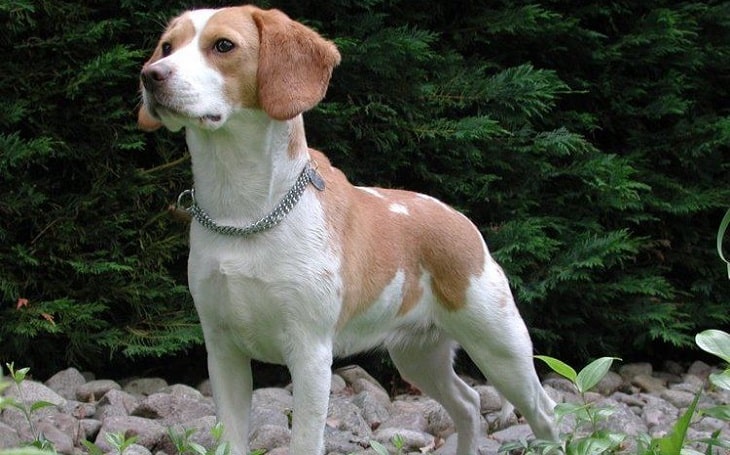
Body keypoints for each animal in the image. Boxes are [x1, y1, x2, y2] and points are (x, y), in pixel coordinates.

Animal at [138, 4, 556, 455]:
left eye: (223, 45)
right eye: (167, 46)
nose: (150, 75)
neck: (245, 213)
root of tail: (459, 221)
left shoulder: (310, 356)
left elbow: (305, 441)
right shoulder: (223, 353)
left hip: (502, 349)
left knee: (545, 411)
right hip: (418, 356)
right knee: (468, 403)